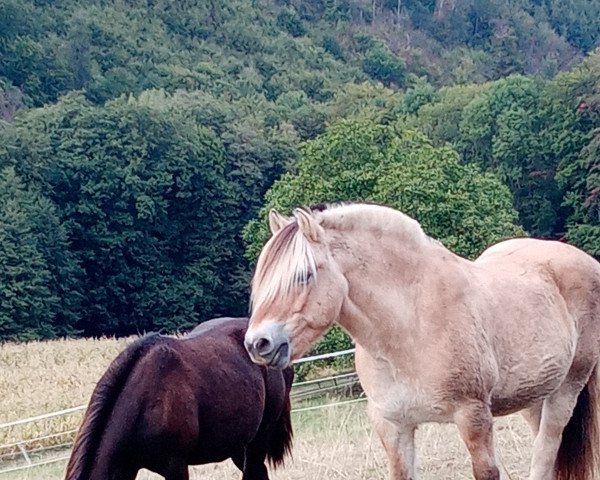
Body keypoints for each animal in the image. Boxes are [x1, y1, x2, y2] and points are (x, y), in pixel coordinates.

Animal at [244, 204, 600, 480]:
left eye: (304, 275)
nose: (257, 343)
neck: (408, 329)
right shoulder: (392, 426)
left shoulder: (473, 417)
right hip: (535, 395)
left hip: (567, 389)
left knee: (545, 450)